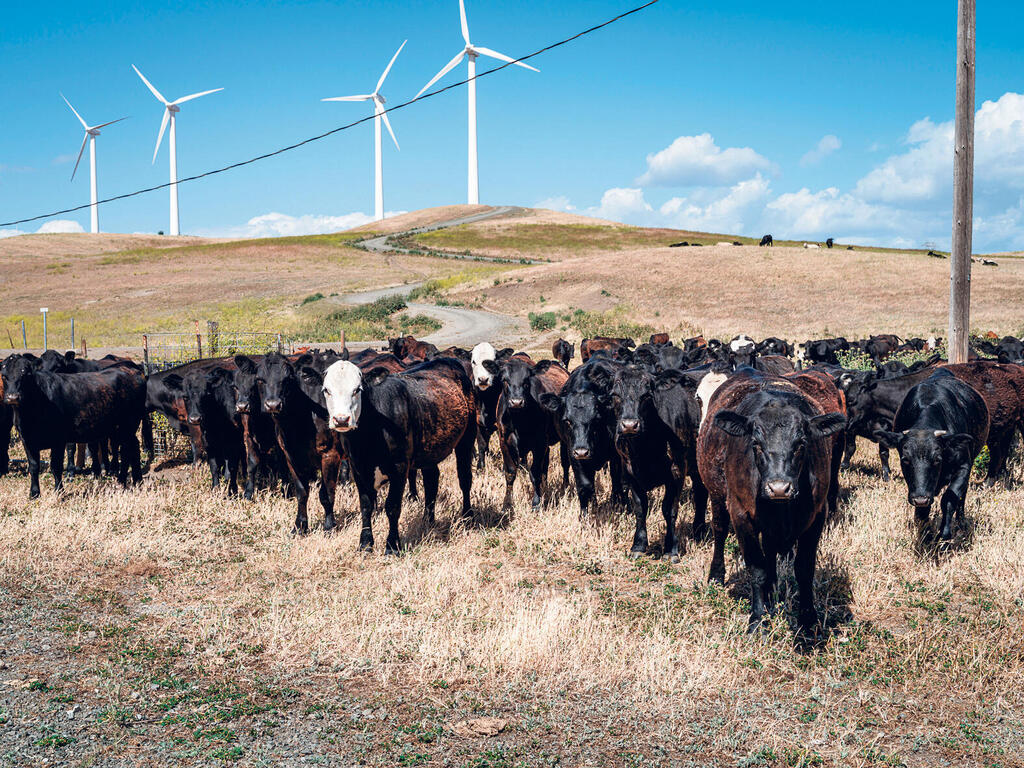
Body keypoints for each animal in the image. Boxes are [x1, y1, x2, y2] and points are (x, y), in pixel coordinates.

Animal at [876, 370, 987, 540]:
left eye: (937, 459)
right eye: (905, 459)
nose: (921, 499)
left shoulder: (963, 466)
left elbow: (949, 499)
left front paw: (945, 534)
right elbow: (922, 513)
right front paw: (926, 536)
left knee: (962, 496)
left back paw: (961, 523)